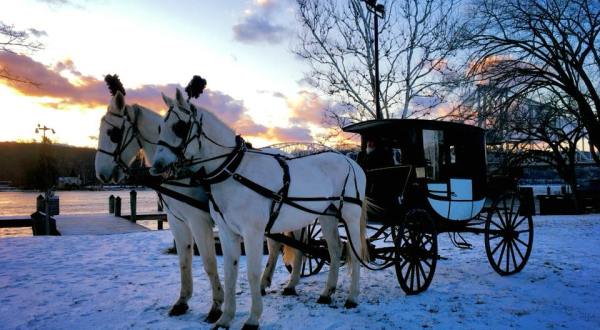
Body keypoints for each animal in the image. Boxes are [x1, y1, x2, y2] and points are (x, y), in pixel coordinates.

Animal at [152, 89, 368, 328]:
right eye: (160, 127)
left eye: (179, 127)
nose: (156, 167)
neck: (235, 172)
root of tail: (351, 162)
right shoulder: (227, 232)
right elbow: (230, 272)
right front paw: (225, 318)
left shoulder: (252, 232)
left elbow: (253, 273)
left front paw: (253, 318)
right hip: (327, 215)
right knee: (335, 248)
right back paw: (327, 292)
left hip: (350, 215)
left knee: (354, 250)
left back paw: (352, 297)